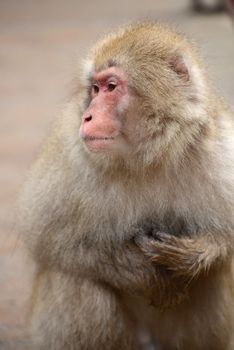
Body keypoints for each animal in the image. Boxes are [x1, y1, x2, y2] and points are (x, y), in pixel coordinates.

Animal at [19, 23, 234, 348]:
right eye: (95, 89)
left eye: (111, 87)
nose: (87, 116)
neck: (148, 157)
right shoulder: (68, 155)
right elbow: (51, 241)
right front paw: (147, 276)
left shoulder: (222, 152)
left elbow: (225, 240)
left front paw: (193, 256)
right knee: (77, 280)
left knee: (211, 281)